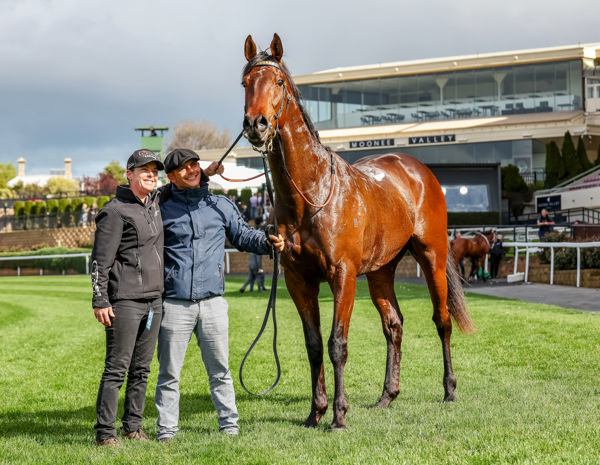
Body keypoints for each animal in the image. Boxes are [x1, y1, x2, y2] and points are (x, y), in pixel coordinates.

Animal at [240, 33, 474, 432]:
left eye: (279, 82)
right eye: (245, 83)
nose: (256, 124)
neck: (314, 192)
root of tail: (416, 168)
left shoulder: (343, 275)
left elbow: (338, 344)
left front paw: (338, 415)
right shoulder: (297, 279)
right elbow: (314, 345)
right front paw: (315, 412)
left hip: (433, 257)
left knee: (442, 320)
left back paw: (449, 389)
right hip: (381, 271)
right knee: (394, 325)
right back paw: (387, 396)